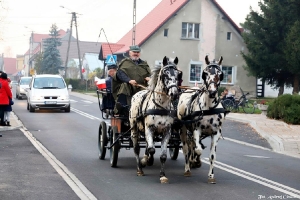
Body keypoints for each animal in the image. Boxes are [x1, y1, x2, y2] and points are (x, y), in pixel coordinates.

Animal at [128, 55, 179, 184]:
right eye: (165, 74)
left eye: (178, 74)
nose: (174, 93)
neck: (161, 106)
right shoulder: (149, 129)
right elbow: (152, 150)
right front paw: (146, 161)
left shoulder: (167, 131)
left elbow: (163, 155)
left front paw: (162, 175)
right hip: (134, 129)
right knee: (136, 148)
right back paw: (140, 168)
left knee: (147, 145)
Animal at [177, 55, 229, 184]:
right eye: (205, 73)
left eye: (220, 74)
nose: (212, 92)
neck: (209, 108)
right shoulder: (196, 130)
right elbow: (197, 149)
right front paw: (194, 160)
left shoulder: (216, 133)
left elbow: (212, 156)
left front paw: (211, 176)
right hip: (183, 129)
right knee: (186, 148)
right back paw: (188, 168)